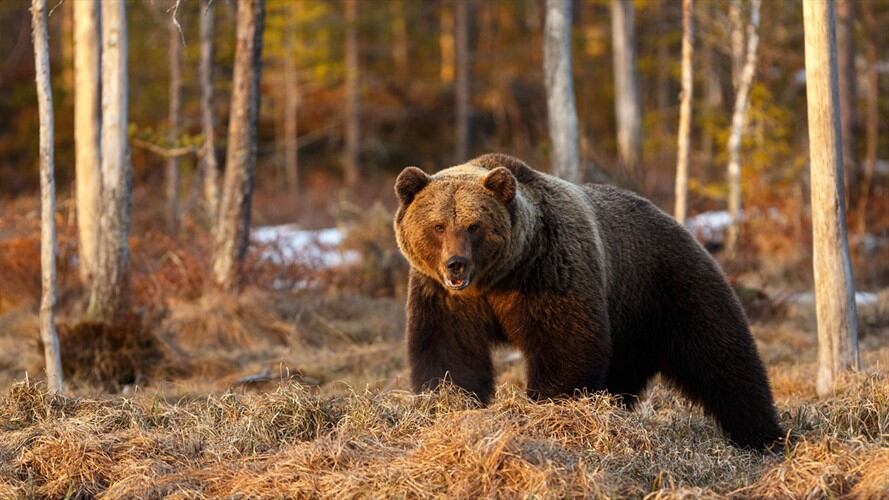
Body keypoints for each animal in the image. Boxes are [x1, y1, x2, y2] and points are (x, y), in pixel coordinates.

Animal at [393, 153, 784, 450]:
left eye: (474, 225)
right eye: (438, 225)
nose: (455, 263)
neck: (497, 278)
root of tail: (678, 222)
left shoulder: (549, 270)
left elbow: (565, 344)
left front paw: (548, 410)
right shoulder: (445, 296)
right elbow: (449, 351)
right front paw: (449, 403)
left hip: (668, 285)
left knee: (722, 356)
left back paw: (763, 436)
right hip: (630, 327)